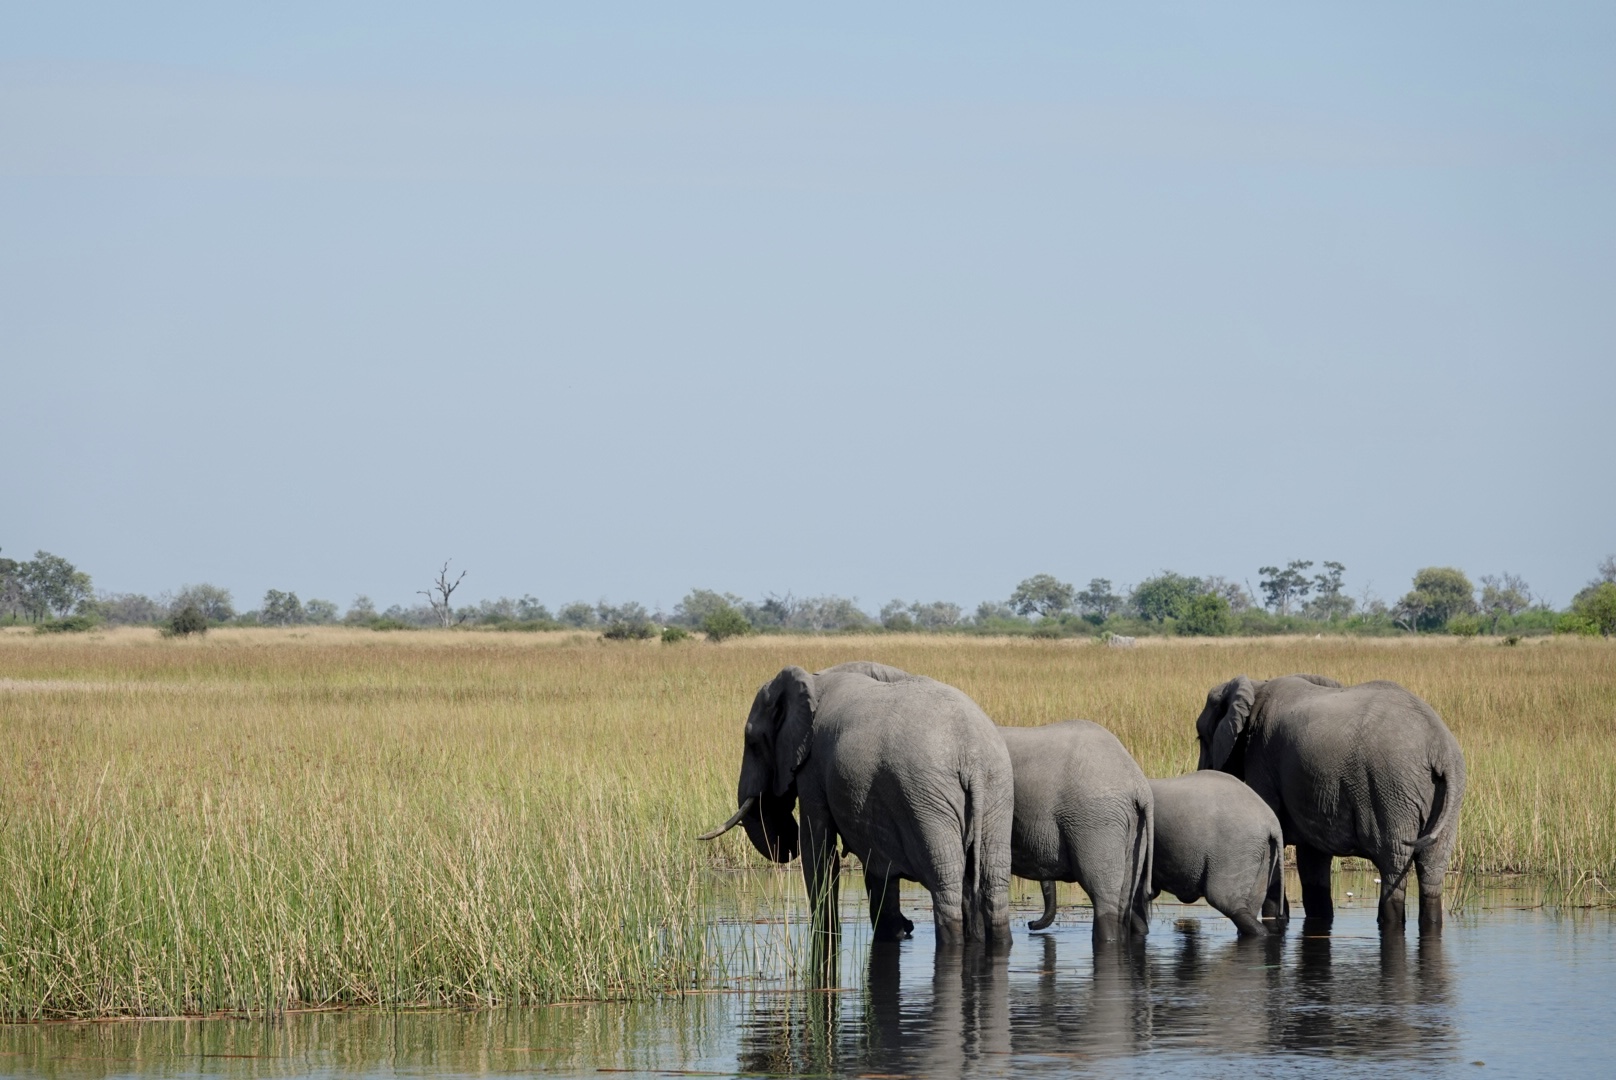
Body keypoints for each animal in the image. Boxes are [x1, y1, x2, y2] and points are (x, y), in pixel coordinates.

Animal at [699, 662, 1014, 946]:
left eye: (752, 742)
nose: (910, 924)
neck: (813, 679)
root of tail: (972, 757)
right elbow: (875, 866)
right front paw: (895, 932)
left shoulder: (813, 766)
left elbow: (819, 850)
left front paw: (826, 936)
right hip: (996, 794)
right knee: (993, 886)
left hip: (928, 803)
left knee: (945, 885)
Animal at [1000, 720, 1154, 943]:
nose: (1031, 924)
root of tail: (1139, 785)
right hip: (1134, 828)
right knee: (1125, 897)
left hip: (1096, 820)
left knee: (1102, 896)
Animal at [1195, 673, 1466, 931]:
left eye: (1199, 738)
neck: (1257, 685)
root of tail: (1440, 746)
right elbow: (1313, 857)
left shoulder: (1261, 759)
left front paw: (1275, 920)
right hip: (1445, 795)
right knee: (1432, 867)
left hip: (1391, 789)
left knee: (1394, 863)